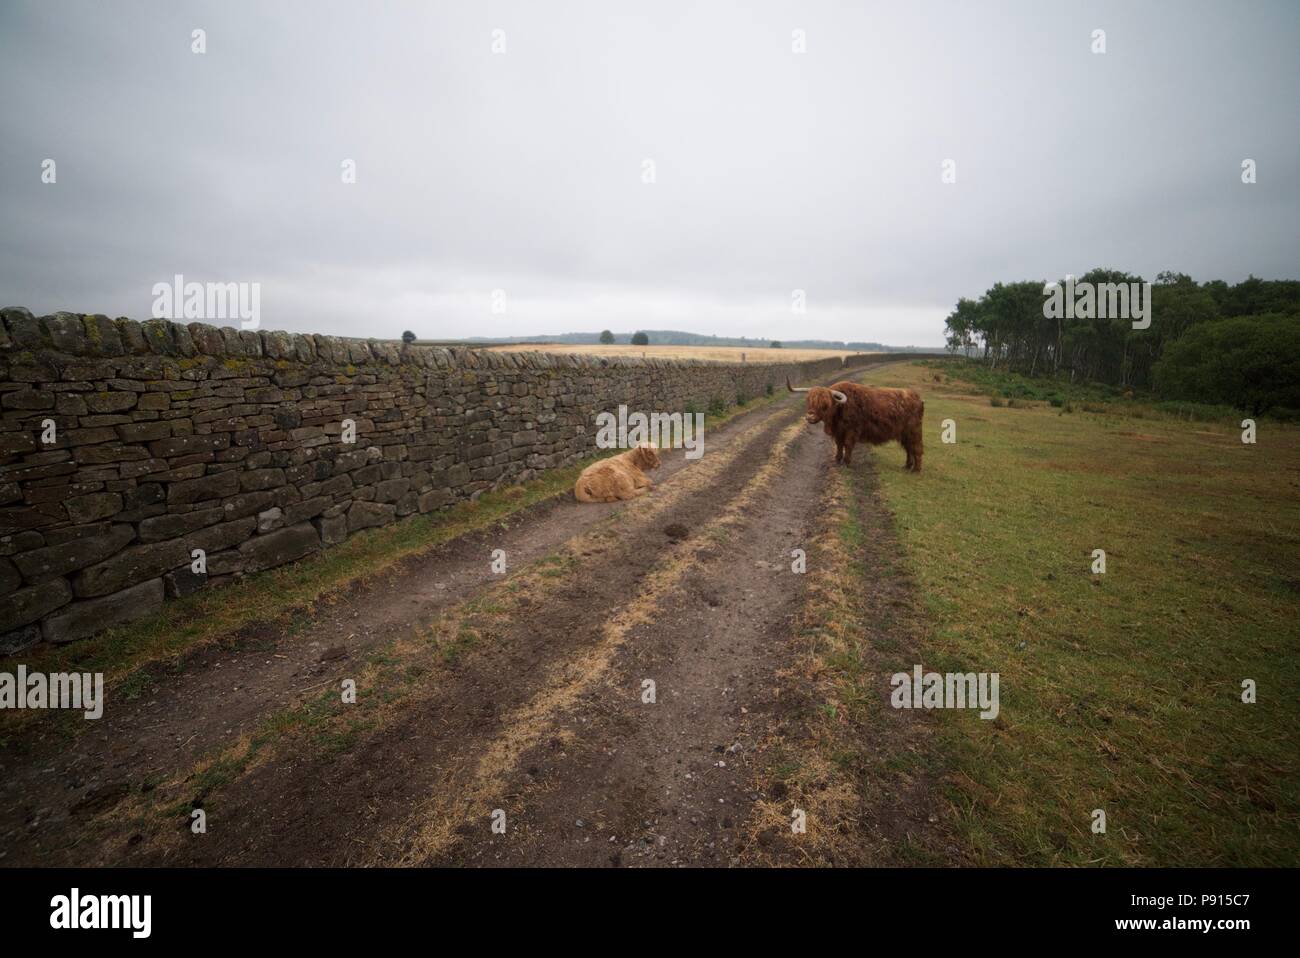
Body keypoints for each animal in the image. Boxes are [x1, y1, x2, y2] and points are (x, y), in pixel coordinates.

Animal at [787, 377, 924, 472]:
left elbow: (847, 445)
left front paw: (847, 462)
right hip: (904, 434)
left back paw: (916, 470)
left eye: (825, 405)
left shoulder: (851, 431)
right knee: (908, 448)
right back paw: (907, 466)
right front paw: (837, 460)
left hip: (914, 431)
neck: (840, 409)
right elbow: (839, 445)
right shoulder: (838, 432)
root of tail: (917, 397)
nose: (810, 416)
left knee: (916, 448)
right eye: (808, 401)